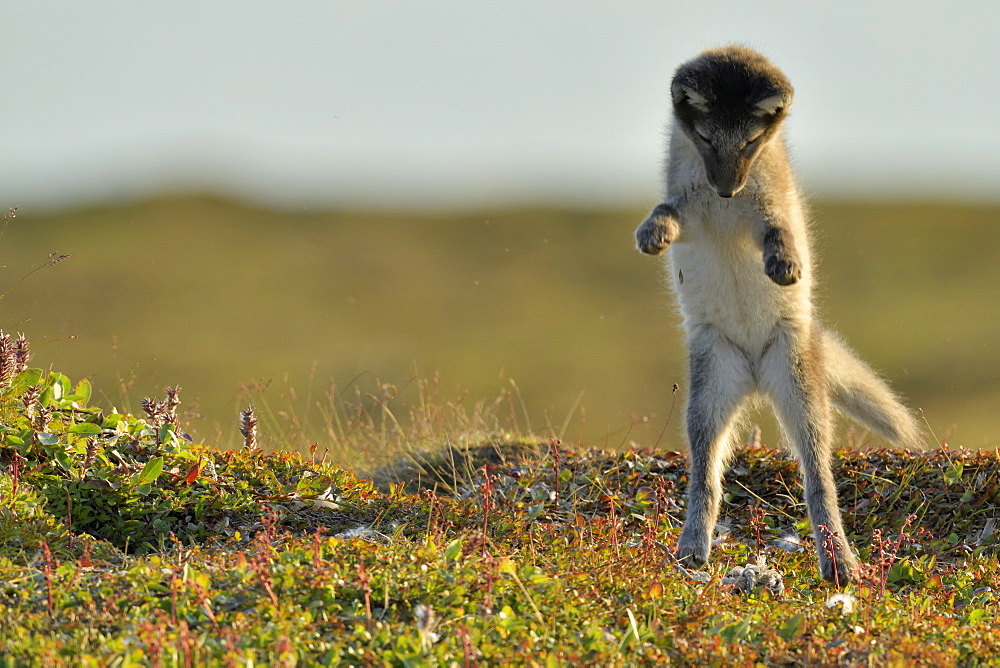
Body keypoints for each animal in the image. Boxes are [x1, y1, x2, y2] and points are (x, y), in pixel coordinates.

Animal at [632, 44, 920, 580]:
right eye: (706, 137)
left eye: (750, 141)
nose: (726, 191)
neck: (726, 209)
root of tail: (753, 373)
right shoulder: (690, 207)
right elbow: (667, 210)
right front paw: (651, 233)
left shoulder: (767, 205)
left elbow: (779, 229)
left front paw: (785, 264)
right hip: (706, 398)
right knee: (707, 477)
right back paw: (693, 546)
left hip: (800, 392)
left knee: (818, 477)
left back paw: (838, 560)